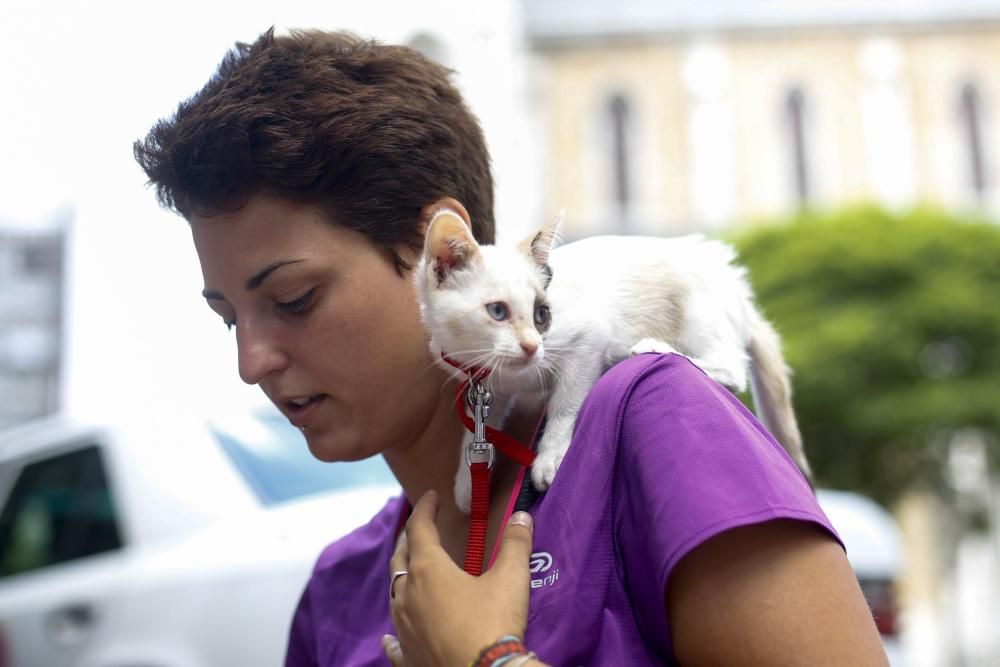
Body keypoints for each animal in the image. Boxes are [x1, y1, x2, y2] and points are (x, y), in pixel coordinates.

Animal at [414, 209, 812, 512]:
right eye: (497, 311)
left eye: (543, 315)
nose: (531, 347)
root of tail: (737, 289)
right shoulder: (487, 385)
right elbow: (478, 429)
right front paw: (469, 482)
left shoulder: (586, 341)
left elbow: (565, 404)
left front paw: (549, 457)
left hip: (697, 308)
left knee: (731, 366)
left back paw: (653, 347)